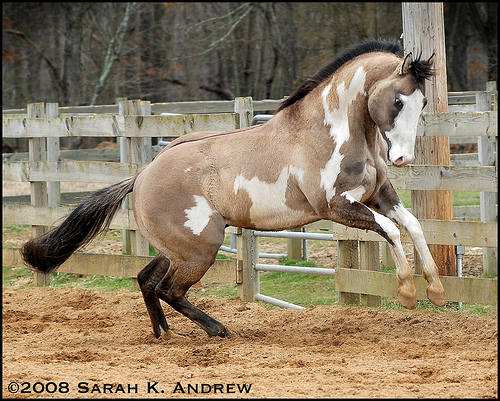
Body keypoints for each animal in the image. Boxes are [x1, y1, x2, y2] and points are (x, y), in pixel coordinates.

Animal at [22, 37, 446, 340]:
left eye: (423, 102)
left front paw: (437, 290)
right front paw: (408, 294)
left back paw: (164, 334)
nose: (403, 158)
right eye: (397, 101)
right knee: (169, 290)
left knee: (147, 279)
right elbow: (391, 230)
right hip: (200, 249)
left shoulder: (379, 197)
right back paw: (218, 330)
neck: (327, 133)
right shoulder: (337, 208)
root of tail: (140, 177)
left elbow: (412, 225)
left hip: (181, 248)